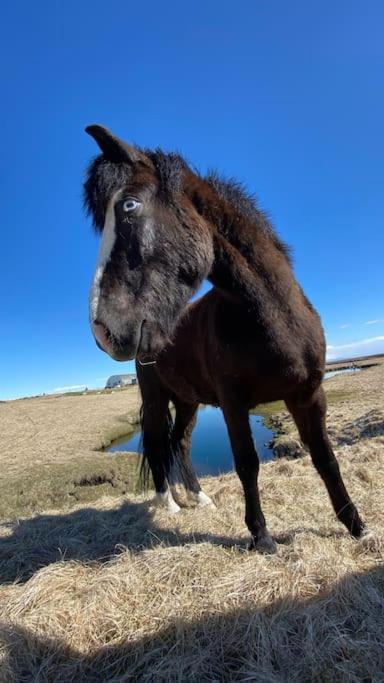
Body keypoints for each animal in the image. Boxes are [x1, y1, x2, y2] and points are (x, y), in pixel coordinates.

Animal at [83, 125, 364, 556]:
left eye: (130, 205)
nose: (101, 330)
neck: (272, 318)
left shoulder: (309, 394)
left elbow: (325, 458)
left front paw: (356, 525)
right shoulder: (234, 404)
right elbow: (247, 463)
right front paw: (262, 537)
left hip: (187, 401)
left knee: (179, 442)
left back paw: (199, 497)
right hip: (155, 396)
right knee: (157, 441)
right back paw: (170, 504)